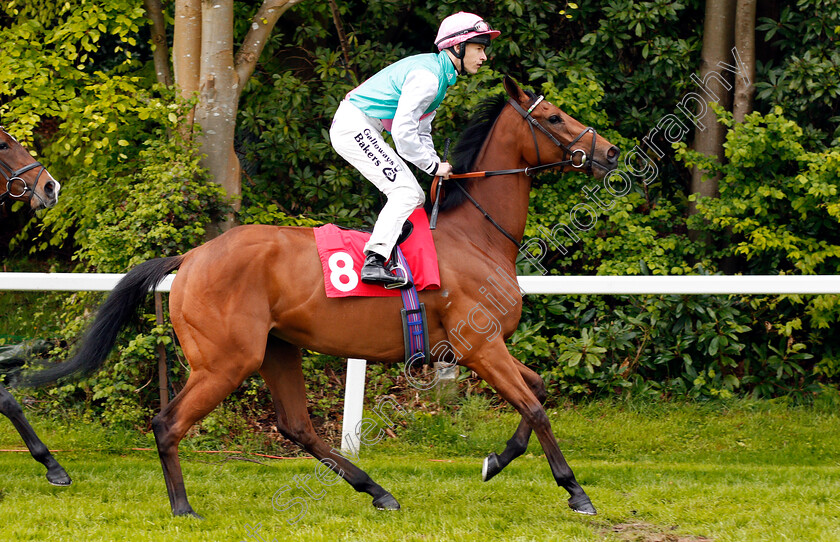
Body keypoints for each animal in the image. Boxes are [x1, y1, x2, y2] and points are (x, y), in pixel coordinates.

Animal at [23, 76, 620, 520]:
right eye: (554, 117)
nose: (610, 152)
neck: (477, 236)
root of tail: (191, 257)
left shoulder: (487, 347)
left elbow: (536, 392)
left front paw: (496, 460)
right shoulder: (480, 346)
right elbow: (536, 407)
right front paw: (575, 491)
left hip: (277, 349)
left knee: (297, 427)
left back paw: (378, 491)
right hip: (225, 360)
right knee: (168, 423)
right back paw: (183, 508)